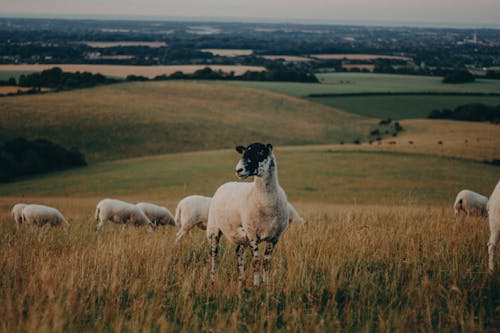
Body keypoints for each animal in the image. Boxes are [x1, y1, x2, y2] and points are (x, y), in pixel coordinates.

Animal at [206, 143, 290, 286]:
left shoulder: (274, 237)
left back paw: (241, 282)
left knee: (239, 253)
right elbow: (256, 261)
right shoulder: (252, 235)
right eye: (243, 153)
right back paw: (213, 282)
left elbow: (266, 262)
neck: (266, 203)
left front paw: (266, 285)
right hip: (214, 229)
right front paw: (256, 285)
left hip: (241, 236)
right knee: (214, 256)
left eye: (260, 152)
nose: (238, 170)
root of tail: (225, 184)